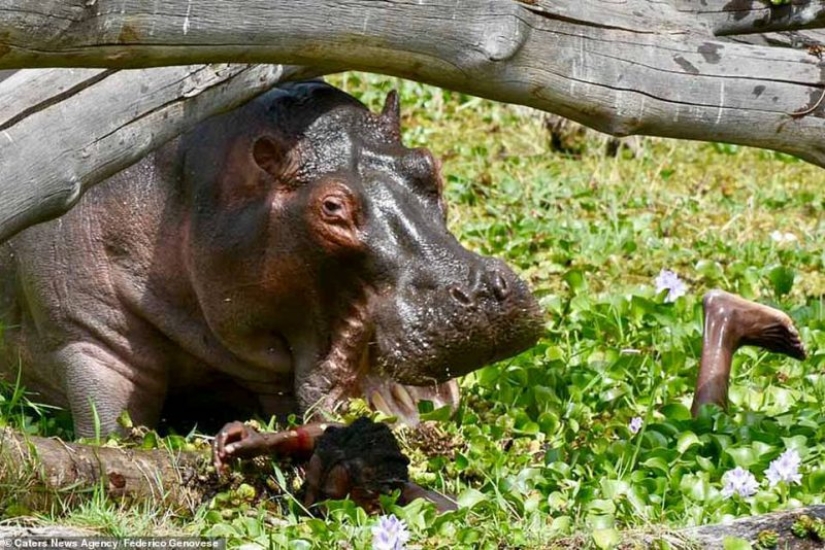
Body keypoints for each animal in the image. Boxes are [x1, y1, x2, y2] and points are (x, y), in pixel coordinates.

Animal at [0, 81, 544, 437]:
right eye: (331, 208)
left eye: (429, 163)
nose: (478, 291)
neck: (185, 186)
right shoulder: (89, 340)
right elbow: (110, 428)